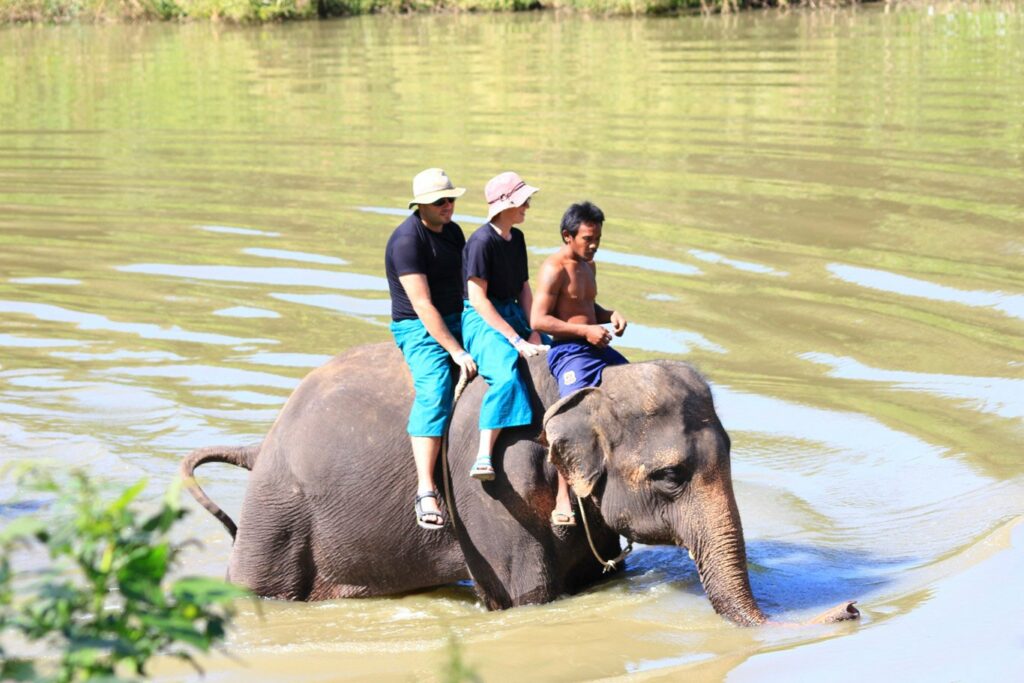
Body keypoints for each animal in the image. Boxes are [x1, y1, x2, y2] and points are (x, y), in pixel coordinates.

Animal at [182, 343, 858, 627]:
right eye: (669, 478)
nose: (851, 609)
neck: (584, 387)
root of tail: (261, 441)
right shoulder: (489, 484)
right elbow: (527, 598)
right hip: (278, 517)